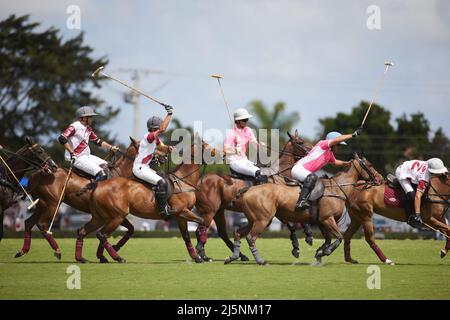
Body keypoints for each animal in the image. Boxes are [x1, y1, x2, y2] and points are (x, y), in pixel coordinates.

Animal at [76, 139, 220, 264]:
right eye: (207, 146)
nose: (220, 153)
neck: (183, 182)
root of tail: (98, 185)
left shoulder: (181, 216)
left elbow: (187, 237)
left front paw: (197, 257)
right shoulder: (181, 211)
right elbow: (202, 222)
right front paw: (201, 251)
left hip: (100, 217)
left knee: (83, 231)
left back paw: (82, 258)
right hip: (116, 216)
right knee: (102, 234)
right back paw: (117, 257)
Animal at [193, 131, 312, 262]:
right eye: (301, 142)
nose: (312, 149)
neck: (279, 176)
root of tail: (199, 181)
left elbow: (297, 221)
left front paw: (304, 239)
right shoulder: (278, 209)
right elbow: (292, 223)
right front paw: (299, 245)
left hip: (219, 211)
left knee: (221, 232)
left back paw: (238, 255)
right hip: (209, 211)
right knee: (201, 230)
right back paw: (202, 255)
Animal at [223, 154, 382, 266]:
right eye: (370, 164)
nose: (380, 179)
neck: (337, 188)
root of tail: (248, 189)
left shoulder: (321, 221)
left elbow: (328, 239)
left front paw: (319, 252)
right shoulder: (327, 219)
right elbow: (338, 238)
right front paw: (324, 252)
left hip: (253, 219)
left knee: (238, 233)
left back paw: (232, 257)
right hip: (263, 219)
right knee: (251, 237)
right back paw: (260, 260)